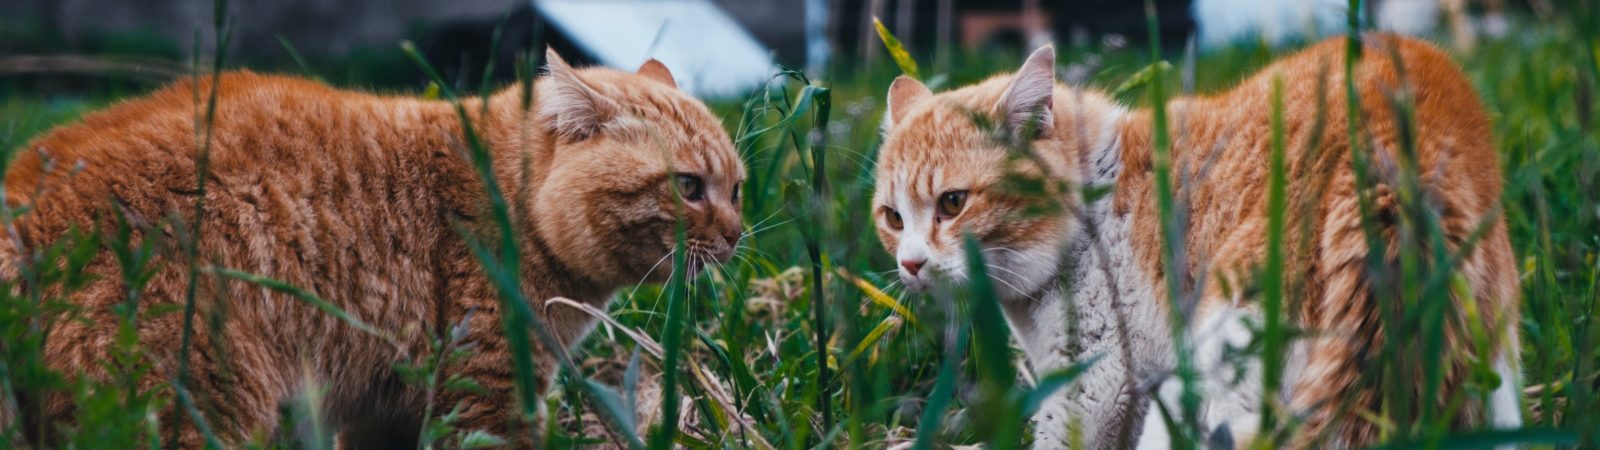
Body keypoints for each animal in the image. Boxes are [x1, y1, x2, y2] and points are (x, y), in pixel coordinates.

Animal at [0, 49, 742, 445]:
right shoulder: (485, 392)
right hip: (202, 406)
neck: (506, 199)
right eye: (688, 187)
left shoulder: (384, 410)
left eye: (737, 188)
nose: (738, 236)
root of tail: (26, 200)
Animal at [876, 35, 1510, 448]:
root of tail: (1391, 159)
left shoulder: (1098, 383)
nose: (911, 264)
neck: (1094, 197)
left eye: (953, 203)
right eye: (892, 218)